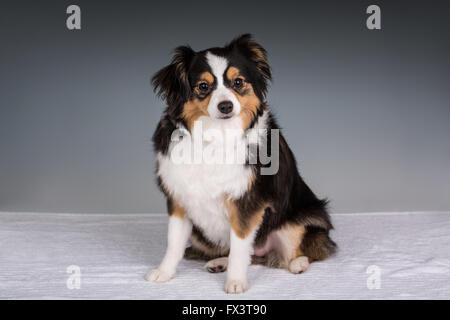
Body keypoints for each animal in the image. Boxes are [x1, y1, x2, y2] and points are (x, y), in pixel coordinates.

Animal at [146, 34, 336, 292]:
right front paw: (164, 272)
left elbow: (239, 247)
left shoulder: (247, 203)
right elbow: (174, 243)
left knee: (307, 249)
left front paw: (235, 281)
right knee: (250, 255)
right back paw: (219, 262)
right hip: (199, 233)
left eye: (238, 82)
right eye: (203, 86)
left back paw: (298, 263)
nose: (226, 106)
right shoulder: (179, 198)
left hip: (299, 219)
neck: (215, 135)